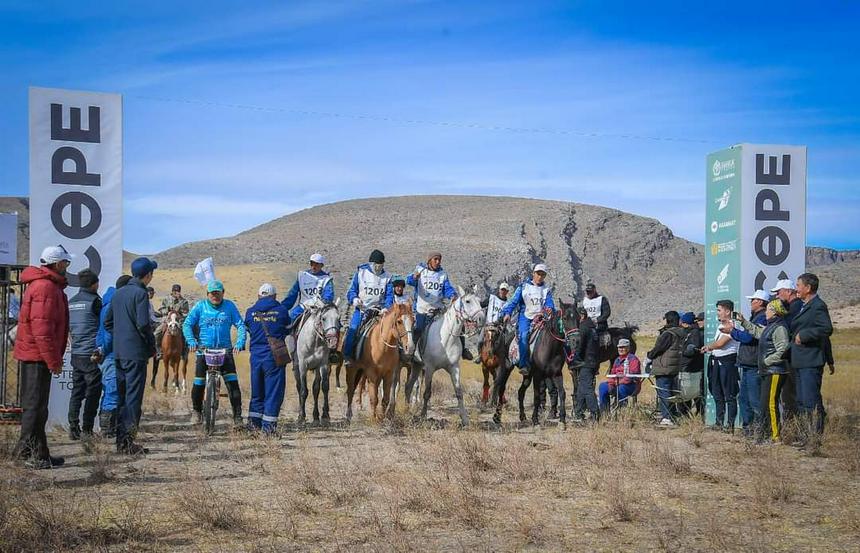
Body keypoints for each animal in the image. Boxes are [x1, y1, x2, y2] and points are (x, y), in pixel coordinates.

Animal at [404, 286, 484, 424]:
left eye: (480, 301)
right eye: (468, 301)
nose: (481, 318)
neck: (446, 338)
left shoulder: (454, 367)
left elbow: (459, 392)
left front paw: (464, 419)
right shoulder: (429, 368)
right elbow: (427, 392)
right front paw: (423, 415)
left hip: (417, 366)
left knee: (409, 386)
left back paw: (407, 409)